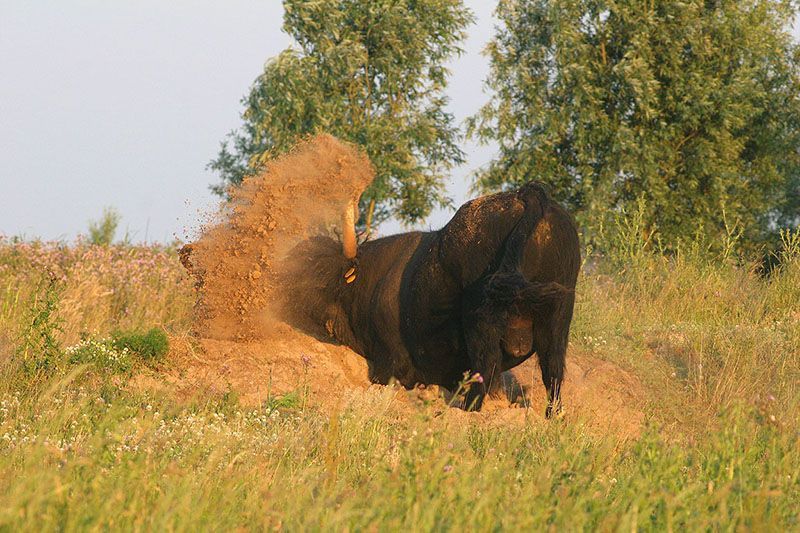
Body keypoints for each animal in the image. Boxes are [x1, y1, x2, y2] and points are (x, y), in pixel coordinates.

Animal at [284, 183, 580, 416]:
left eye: (318, 272)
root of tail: (526, 195)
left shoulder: (389, 366)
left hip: (481, 319)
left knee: (485, 367)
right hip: (558, 314)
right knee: (553, 370)